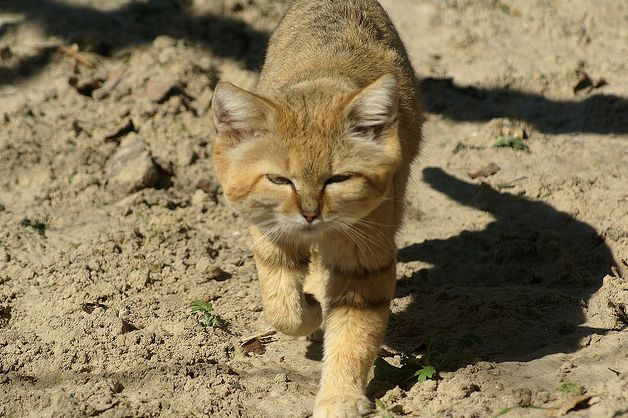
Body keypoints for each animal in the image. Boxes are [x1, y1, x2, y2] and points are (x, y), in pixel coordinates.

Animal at [211, 1, 422, 416]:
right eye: (279, 180)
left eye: (338, 179)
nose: (310, 213)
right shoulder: (270, 234)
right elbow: (282, 307)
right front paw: (307, 309)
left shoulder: (365, 260)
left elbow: (354, 336)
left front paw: (340, 397)